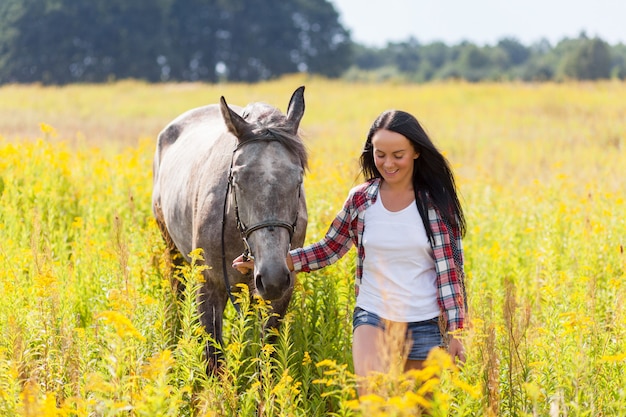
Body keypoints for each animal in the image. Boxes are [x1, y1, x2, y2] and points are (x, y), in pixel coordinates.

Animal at [151, 85, 308, 370]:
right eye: (236, 178)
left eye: (298, 178)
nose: (273, 277)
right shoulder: (209, 284)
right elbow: (213, 357)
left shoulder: (281, 292)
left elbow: (266, 354)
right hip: (172, 248)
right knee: (177, 292)